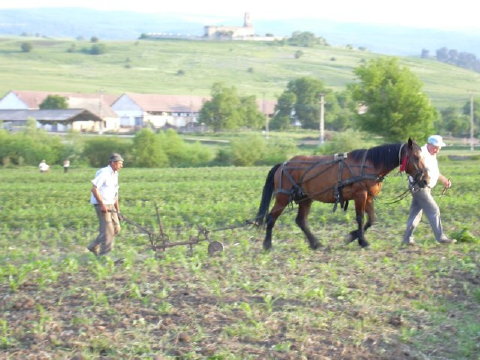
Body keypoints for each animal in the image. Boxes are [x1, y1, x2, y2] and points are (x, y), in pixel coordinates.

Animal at [256, 139, 430, 250]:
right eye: (416, 157)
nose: (426, 180)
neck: (370, 165)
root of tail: (283, 164)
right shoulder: (360, 195)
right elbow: (360, 218)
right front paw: (362, 241)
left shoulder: (369, 197)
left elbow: (371, 219)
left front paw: (353, 236)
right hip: (283, 197)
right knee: (271, 218)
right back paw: (267, 245)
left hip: (306, 198)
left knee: (301, 221)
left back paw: (316, 244)